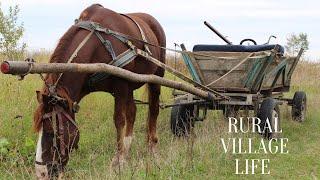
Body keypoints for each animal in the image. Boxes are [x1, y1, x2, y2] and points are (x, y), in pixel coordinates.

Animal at [33, 3, 166, 179]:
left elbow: (119, 120)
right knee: (132, 112)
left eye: (50, 132)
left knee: (154, 109)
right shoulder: (123, 87)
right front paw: (123, 156)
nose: (41, 173)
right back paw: (128, 148)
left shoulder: (121, 86)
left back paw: (152, 148)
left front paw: (118, 161)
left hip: (157, 76)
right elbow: (126, 117)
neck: (96, 45)